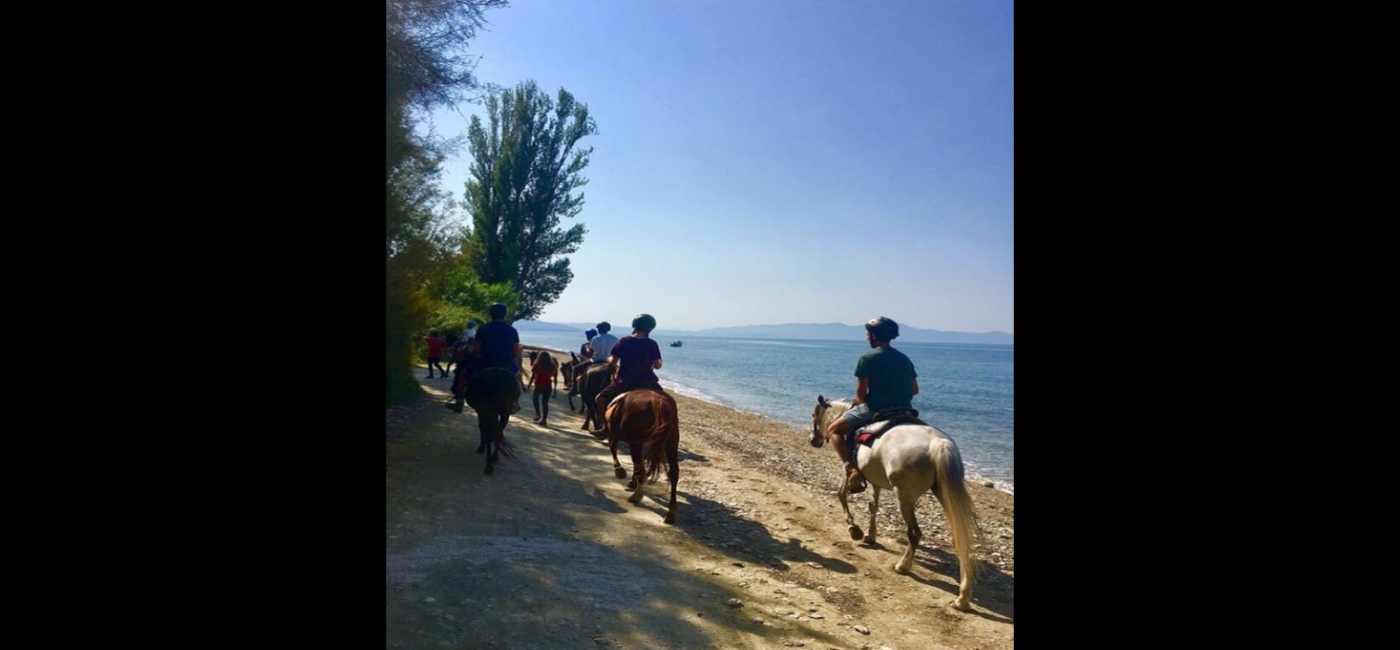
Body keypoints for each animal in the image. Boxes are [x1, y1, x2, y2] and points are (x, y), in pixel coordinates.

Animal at [599, 389, 680, 526]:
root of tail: (659, 401)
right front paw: (632, 480)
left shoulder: (615, 435)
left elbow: (613, 448)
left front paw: (620, 471)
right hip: (671, 443)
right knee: (673, 473)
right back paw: (671, 513)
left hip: (636, 442)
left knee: (640, 466)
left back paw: (636, 496)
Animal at [812, 392, 985, 610]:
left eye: (814, 415)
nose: (813, 440)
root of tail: (937, 444)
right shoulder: (875, 480)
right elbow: (873, 506)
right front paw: (870, 535)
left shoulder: (850, 470)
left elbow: (842, 494)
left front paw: (855, 530)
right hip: (945, 494)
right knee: (960, 538)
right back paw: (962, 597)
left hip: (904, 496)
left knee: (914, 533)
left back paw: (903, 566)